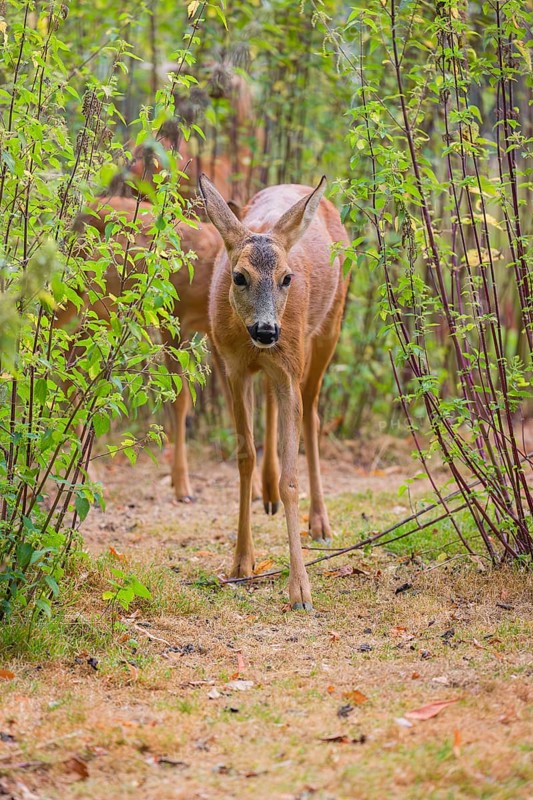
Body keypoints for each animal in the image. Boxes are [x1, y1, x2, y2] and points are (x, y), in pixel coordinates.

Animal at [199, 174, 349, 610]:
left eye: (286, 278)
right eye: (239, 277)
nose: (267, 330)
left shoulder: (289, 365)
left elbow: (291, 478)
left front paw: (300, 589)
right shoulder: (232, 367)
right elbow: (244, 457)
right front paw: (241, 563)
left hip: (327, 328)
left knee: (313, 412)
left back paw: (320, 522)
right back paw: (266, 495)